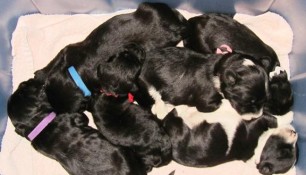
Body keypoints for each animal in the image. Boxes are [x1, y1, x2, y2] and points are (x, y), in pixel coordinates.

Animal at [33, 1, 186, 112]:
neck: (80, 76)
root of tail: (177, 27)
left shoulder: (69, 49)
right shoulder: (67, 51)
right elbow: (54, 62)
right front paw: (41, 74)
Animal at [137, 46, 268, 119]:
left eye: (264, 100)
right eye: (249, 102)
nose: (257, 116)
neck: (218, 70)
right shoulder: (205, 103)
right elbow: (222, 103)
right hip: (150, 87)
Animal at [159, 99, 298, 174]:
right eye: (285, 151)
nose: (295, 133)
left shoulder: (256, 122)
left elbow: (273, 119)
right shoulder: (258, 121)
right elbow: (273, 118)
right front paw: (290, 115)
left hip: (177, 122)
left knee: (175, 112)